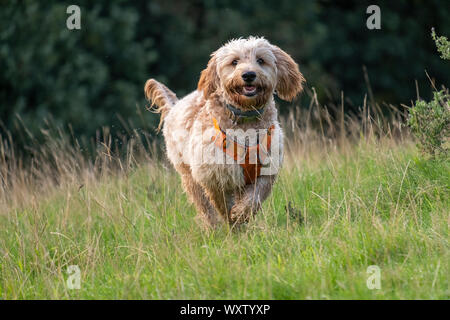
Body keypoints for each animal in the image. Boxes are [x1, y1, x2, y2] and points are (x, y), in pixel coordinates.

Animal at [144, 37, 306, 228]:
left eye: (260, 60)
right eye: (234, 62)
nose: (248, 75)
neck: (245, 120)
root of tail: (175, 105)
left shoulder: (266, 171)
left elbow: (255, 197)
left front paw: (241, 214)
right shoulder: (214, 175)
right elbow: (222, 204)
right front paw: (232, 221)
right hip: (189, 176)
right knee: (204, 207)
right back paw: (213, 227)